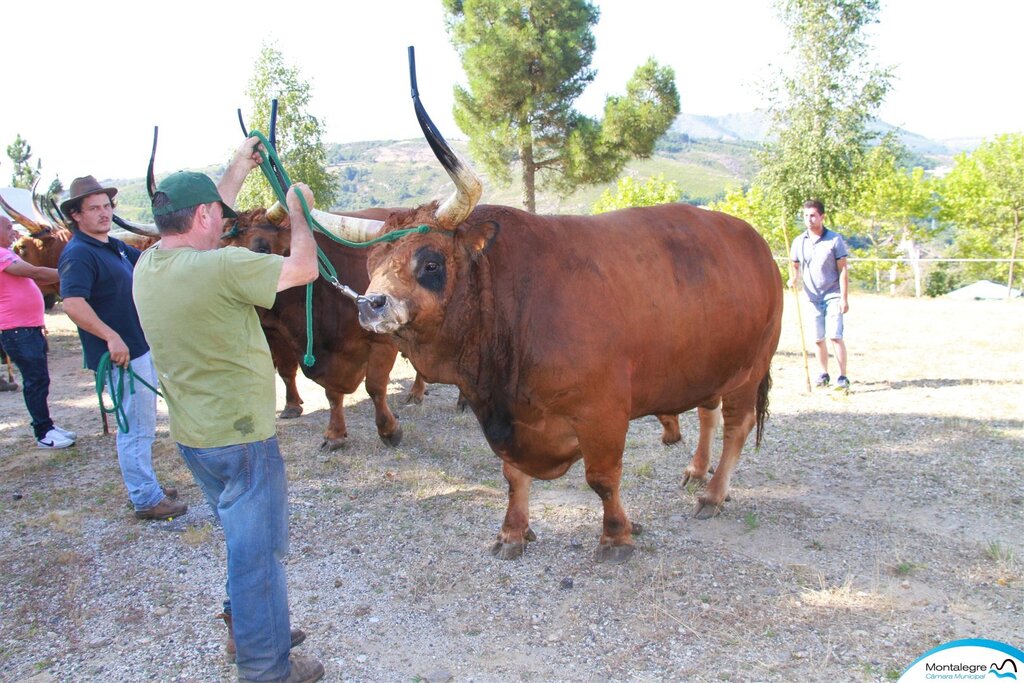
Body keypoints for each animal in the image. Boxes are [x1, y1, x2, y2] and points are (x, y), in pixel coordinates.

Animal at [331, 76, 778, 565]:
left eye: (431, 262)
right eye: (372, 261)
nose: (370, 303)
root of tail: (755, 241)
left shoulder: (602, 413)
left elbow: (602, 478)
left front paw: (616, 536)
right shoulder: (510, 420)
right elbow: (513, 475)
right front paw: (513, 532)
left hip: (749, 369)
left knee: (736, 428)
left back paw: (713, 494)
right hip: (708, 366)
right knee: (707, 413)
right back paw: (697, 472)